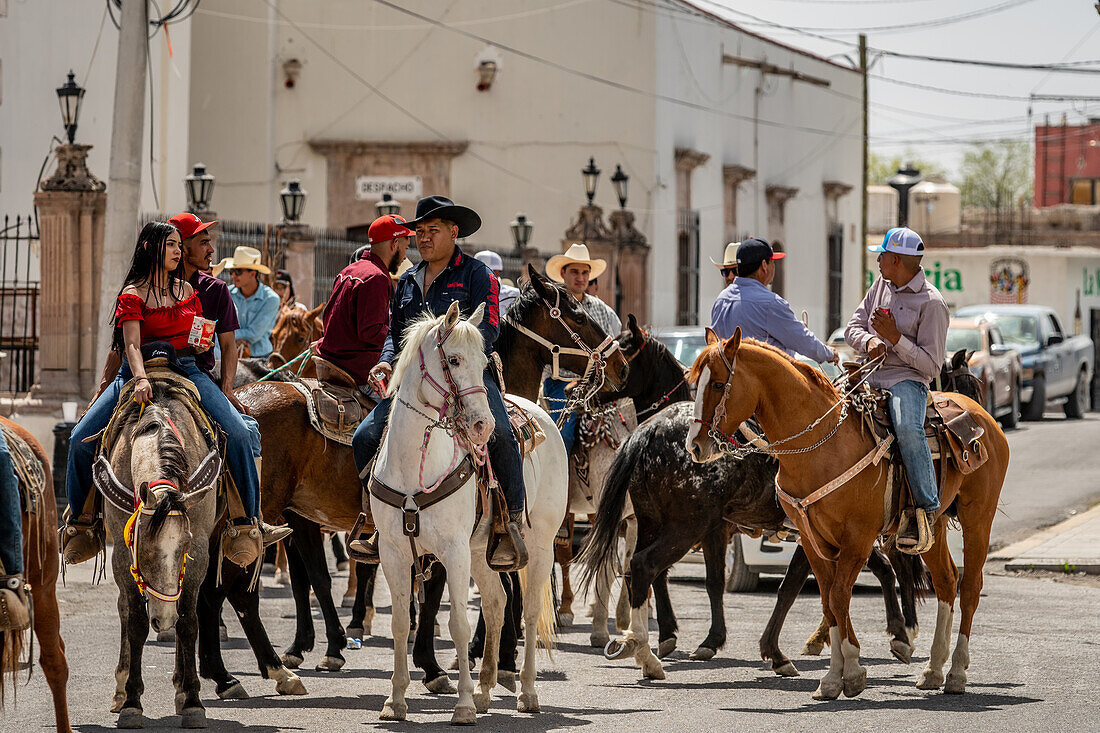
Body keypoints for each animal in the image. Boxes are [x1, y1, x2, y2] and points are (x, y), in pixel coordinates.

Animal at [376, 299, 567, 721]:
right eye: (454, 359)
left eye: (484, 362)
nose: (483, 425)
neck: (414, 465)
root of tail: (540, 409)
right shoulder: (393, 552)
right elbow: (400, 623)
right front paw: (395, 701)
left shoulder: (453, 551)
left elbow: (459, 625)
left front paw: (461, 705)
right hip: (481, 551)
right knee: (496, 604)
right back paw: (485, 687)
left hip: (538, 546)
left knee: (529, 611)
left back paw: (526, 691)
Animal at [690, 330, 1007, 695]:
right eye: (695, 383)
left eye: (717, 384)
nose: (695, 444)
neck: (821, 445)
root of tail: (986, 423)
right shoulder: (813, 539)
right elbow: (827, 599)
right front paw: (831, 676)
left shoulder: (857, 538)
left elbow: (837, 595)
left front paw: (851, 670)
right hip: (932, 525)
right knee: (945, 581)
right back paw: (933, 668)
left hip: (977, 518)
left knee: (968, 586)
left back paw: (955, 671)